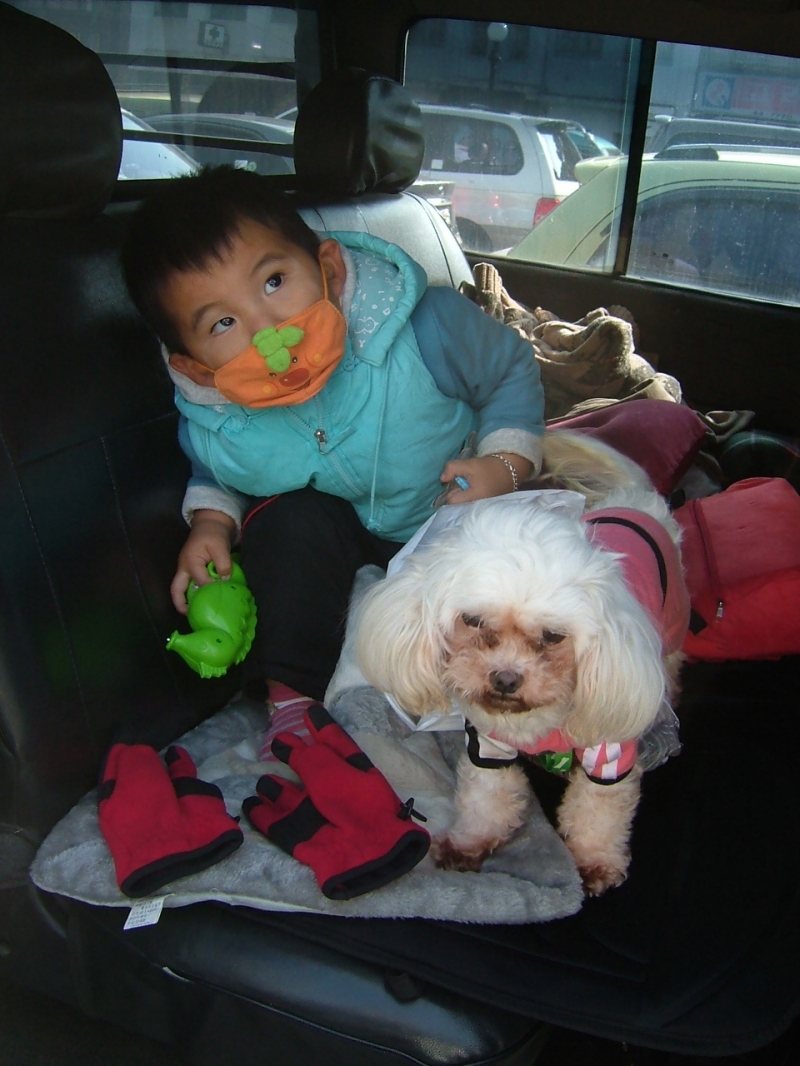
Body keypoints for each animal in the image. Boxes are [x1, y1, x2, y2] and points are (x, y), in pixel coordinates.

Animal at [354, 433, 689, 896]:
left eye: (553, 636)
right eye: (472, 620)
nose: (505, 679)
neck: (536, 721)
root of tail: (637, 501)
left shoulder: (609, 753)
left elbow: (599, 810)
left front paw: (596, 861)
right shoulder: (489, 743)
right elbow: (486, 797)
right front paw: (468, 843)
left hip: (670, 627)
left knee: (670, 668)